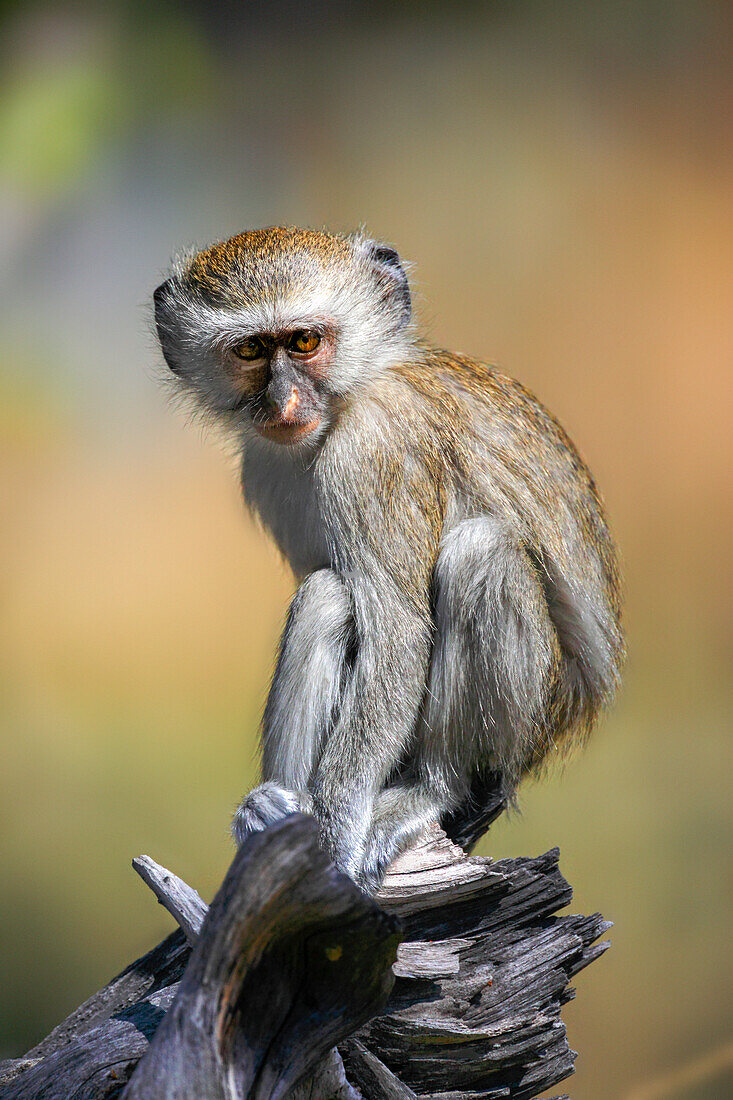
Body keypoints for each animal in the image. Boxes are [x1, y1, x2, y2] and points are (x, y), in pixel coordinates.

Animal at [154, 227, 620, 888]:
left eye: (304, 342)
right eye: (250, 350)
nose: (284, 403)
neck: (350, 399)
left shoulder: (371, 452)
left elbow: (399, 634)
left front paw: (335, 844)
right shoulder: (265, 469)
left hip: (535, 716)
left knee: (480, 555)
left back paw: (433, 788)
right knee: (327, 595)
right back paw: (271, 813)